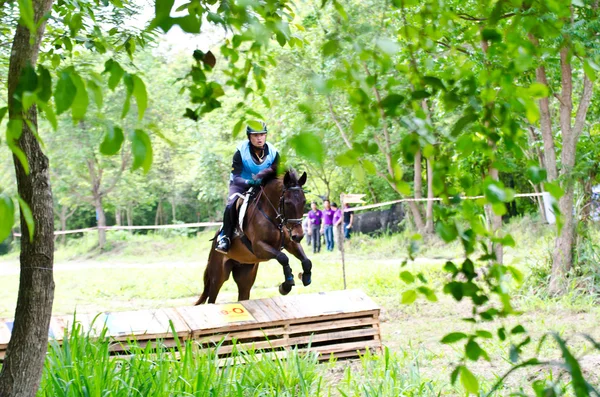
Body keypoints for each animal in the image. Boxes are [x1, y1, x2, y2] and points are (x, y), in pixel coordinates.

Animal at [196, 168, 312, 304]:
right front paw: (286, 285)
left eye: (304, 201)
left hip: (245, 275)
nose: (299, 235)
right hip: (218, 275)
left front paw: (306, 277)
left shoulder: (291, 243)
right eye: (288, 203)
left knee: (243, 294)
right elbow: (283, 258)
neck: (272, 215)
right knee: (212, 297)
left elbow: (306, 261)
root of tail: (215, 242)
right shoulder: (259, 247)